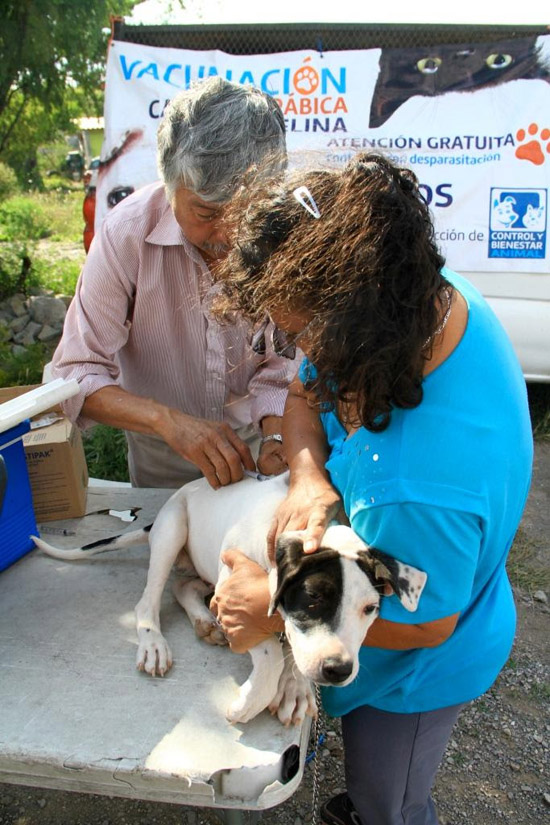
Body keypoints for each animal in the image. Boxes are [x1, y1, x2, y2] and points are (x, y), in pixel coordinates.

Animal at [32, 474, 430, 724]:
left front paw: (296, 687)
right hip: (172, 531)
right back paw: (154, 642)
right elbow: (270, 651)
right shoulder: (235, 595)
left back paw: (205, 622)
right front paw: (251, 700)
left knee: (183, 588)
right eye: (314, 598)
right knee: (149, 600)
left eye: (370, 610)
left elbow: (289, 644)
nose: (338, 670)